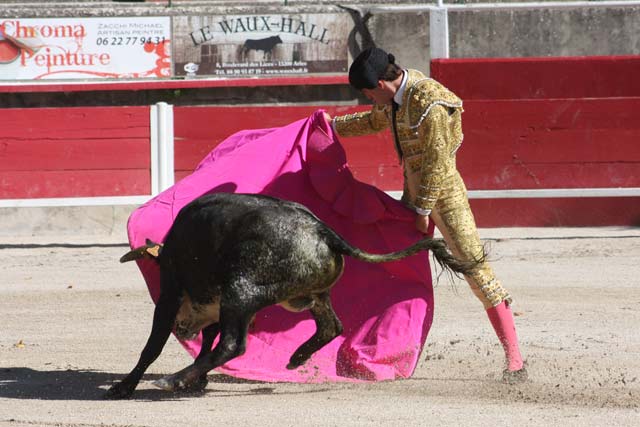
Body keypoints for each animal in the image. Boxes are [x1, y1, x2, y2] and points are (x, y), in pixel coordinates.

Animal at [105, 192, 478, 400]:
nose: (183, 328)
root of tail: (323, 232)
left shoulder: (172, 295)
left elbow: (155, 345)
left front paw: (124, 387)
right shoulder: (217, 308)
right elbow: (207, 341)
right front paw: (197, 380)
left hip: (241, 290)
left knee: (233, 345)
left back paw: (172, 380)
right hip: (312, 294)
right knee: (332, 326)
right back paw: (296, 358)